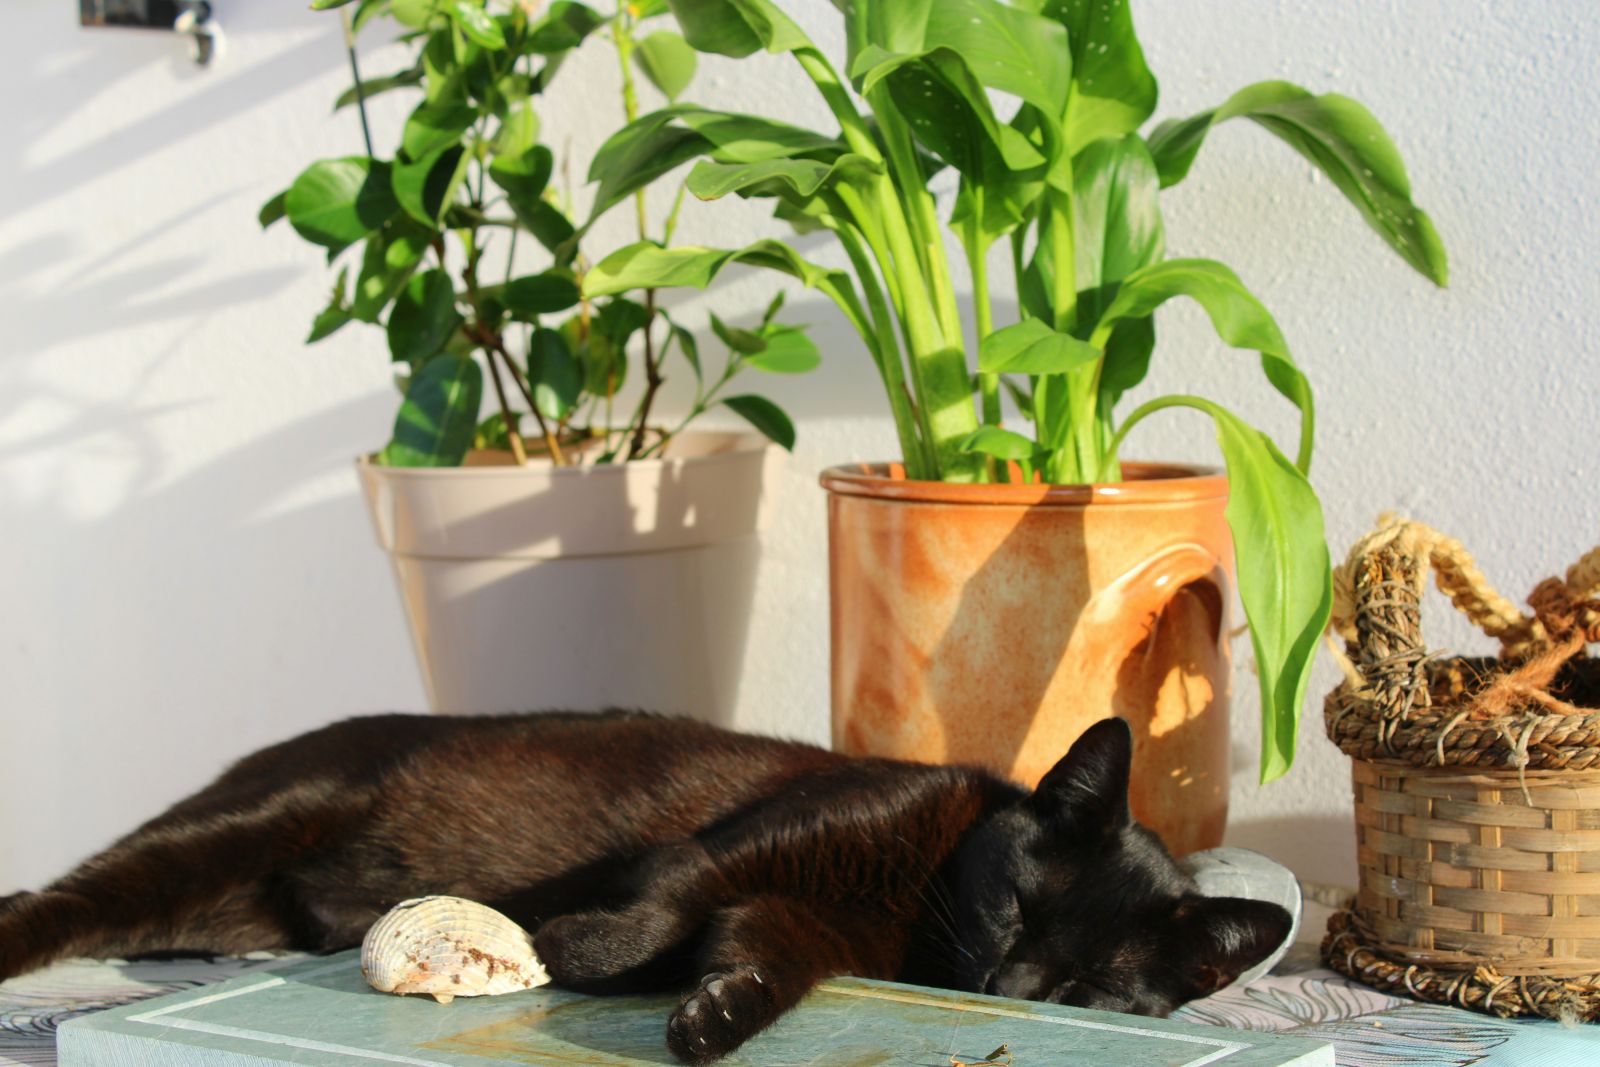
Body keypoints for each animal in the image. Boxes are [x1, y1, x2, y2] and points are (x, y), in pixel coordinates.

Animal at [0, 713, 1286, 1062]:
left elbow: (760, 964)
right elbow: (671, 892)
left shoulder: (792, 917)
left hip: (221, 904)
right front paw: (578, 948)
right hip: (236, 829)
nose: (1011, 981)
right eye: (1019, 903)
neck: (911, 922)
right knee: (59, 897)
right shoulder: (753, 847)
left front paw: (709, 1018)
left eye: (1082, 988)